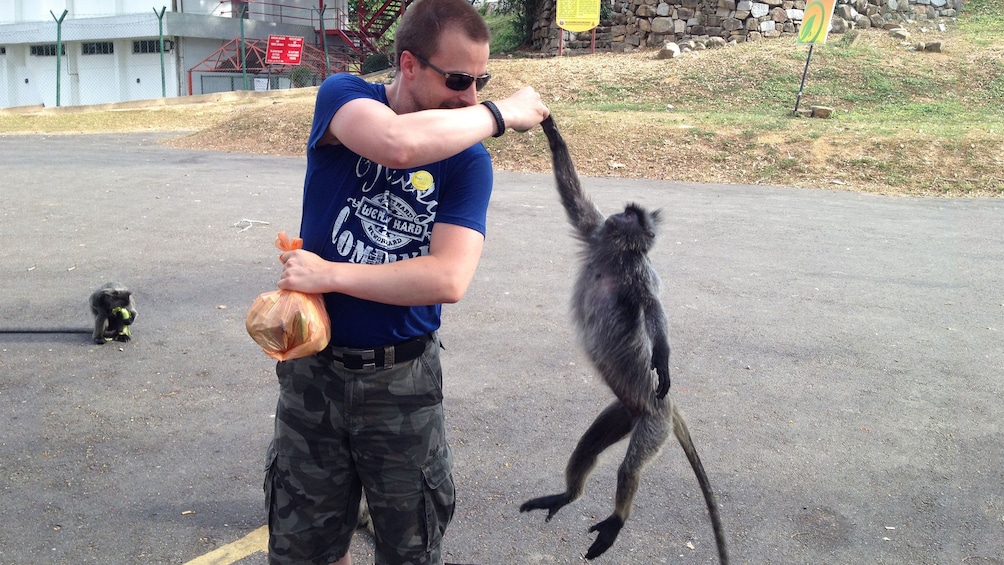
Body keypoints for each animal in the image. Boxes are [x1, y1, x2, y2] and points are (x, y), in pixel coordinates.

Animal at [522, 117, 726, 561]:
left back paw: (616, 521)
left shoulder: (638, 274)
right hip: (624, 410)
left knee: (629, 468)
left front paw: (662, 358)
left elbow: (653, 309)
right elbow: (573, 198)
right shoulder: (597, 235)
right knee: (586, 447)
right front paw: (550, 128)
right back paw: (567, 495)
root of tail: (664, 406)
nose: (620, 212)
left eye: (632, 215)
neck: (614, 256)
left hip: (652, 421)